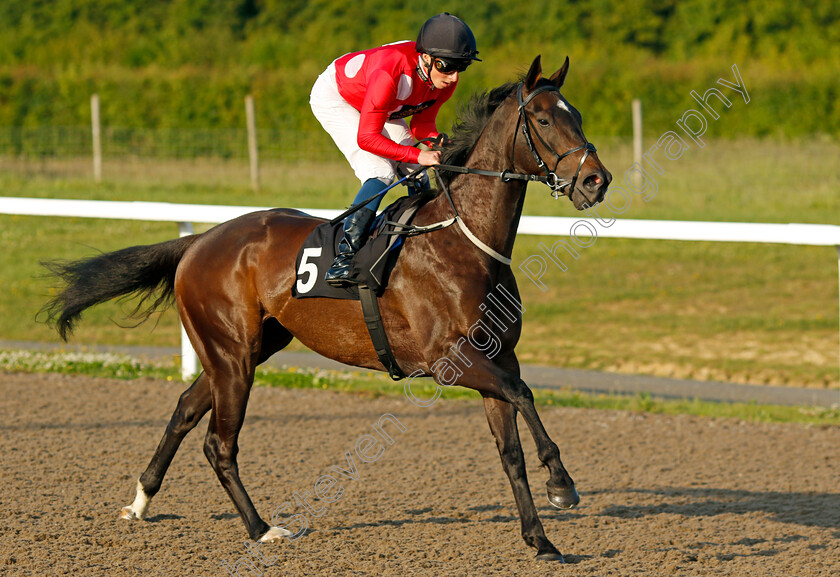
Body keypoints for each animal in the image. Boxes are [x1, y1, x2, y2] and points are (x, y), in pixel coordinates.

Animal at [42, 56, 612, 560]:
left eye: (579, 116)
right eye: (544, 119)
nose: (596, 180)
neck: (463, 240)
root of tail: (201, 240)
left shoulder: (496, 356)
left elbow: (511, 449)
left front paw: (541, 541)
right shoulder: (449, 361)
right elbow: (524, 393)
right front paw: (562, 484)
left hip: (248, 348)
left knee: (184, 409)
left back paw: (140, 502)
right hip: (233, 355)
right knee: (219, 444)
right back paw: (261, 529)